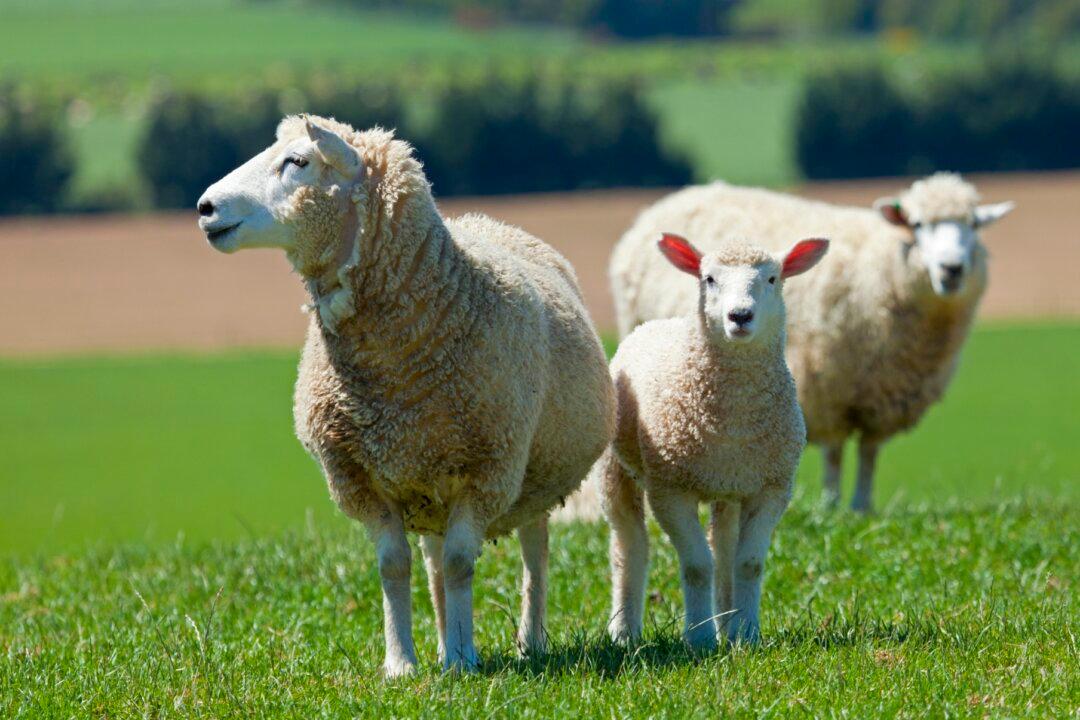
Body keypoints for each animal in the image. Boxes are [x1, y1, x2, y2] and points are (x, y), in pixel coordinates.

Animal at [195, 115, 615, 675]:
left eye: (298, 161)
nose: (205, 207)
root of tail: (486, 220)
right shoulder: (359, 478)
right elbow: (395, 566)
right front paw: (402, 664)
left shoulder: (488, 470)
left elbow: (461, 564)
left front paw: (463, 660)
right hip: (430, 477)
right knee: (435, 563)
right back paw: (441, 642)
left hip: (532, 475)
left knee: (534, 554)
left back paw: (528, 640)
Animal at [603, 232, 828, 648]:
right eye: (708, 279)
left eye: (772, 278)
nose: (740, 316)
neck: (734, 418)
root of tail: (656, 323)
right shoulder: (670, 490)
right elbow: (696, 565)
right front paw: (700, 638)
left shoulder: (771, 487)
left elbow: (748, 563)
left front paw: (748, 634)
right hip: (616, 468)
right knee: (629, 544)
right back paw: (625, 632)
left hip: (729, 486)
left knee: (723, 547)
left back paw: (729, 625)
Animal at [607, 173, 1014, 513]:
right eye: (917, 225)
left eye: (974, 225)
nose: (952, 269)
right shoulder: (827, 382)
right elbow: (834, 452)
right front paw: (833, 506)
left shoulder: (882, 393)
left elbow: (869, 453)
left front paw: (862, 506)